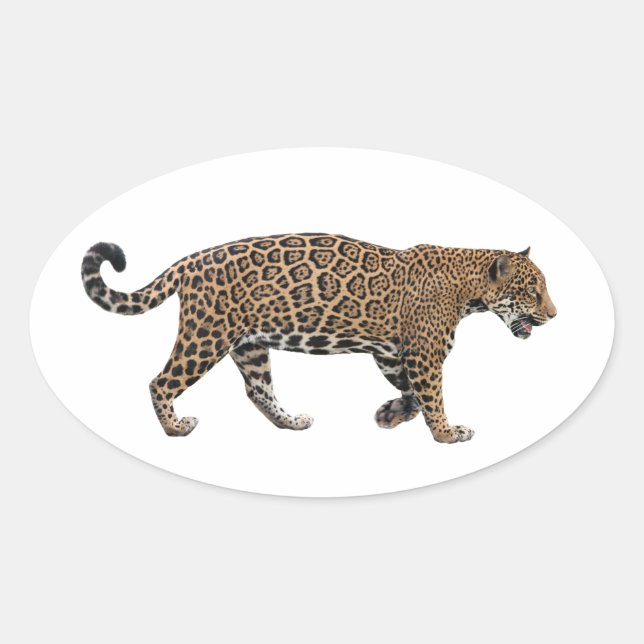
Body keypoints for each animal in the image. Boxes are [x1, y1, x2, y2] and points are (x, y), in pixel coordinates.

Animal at [81, 233, 557, 443]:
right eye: (533, 290)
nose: (554, 315)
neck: (469, 287)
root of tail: (189, 261)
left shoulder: (392, 354)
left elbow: (413, 392)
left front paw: (390, 414)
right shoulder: (424, 354)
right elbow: (433, 396)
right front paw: (447, 432)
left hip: (250, 345)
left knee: (258, 391)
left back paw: (292, 422)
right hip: (207, 334)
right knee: (160, 382)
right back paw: (175, 427)